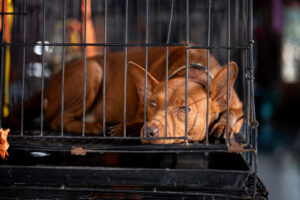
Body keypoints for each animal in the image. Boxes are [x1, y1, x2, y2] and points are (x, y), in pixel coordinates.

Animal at [14, 47, 244, 144]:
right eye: (152, 103)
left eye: (185, 109)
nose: (150, 132)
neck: (193, 69)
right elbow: (139, 119)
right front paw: (128, 128)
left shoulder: (238, 107)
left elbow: (233, 113)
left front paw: (223, 125)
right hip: (93, 70)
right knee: (56, 120)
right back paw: (92, 126)